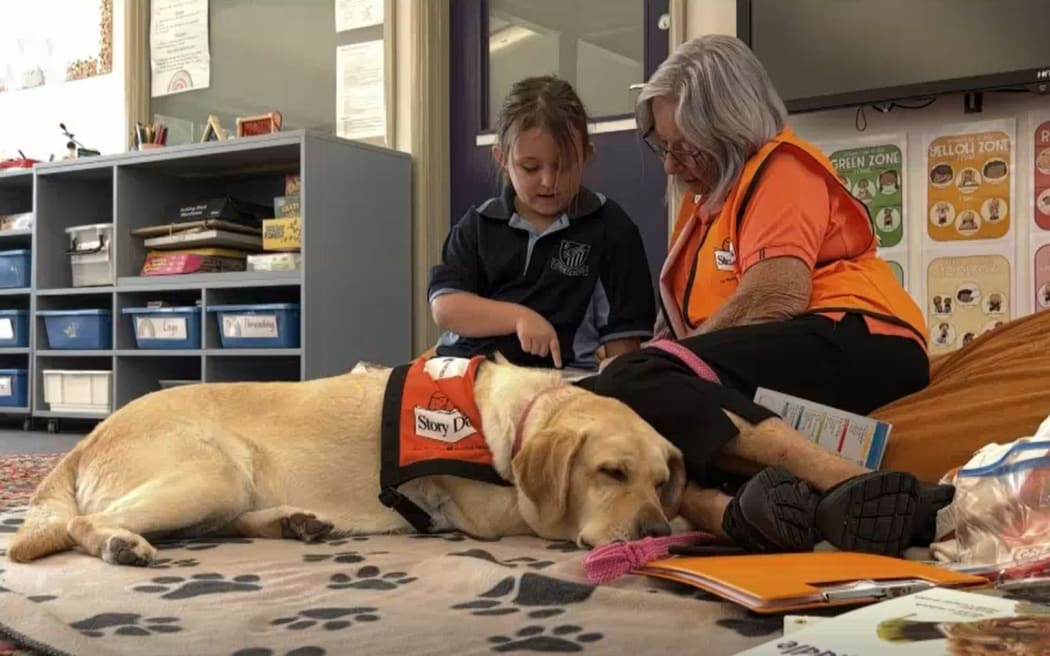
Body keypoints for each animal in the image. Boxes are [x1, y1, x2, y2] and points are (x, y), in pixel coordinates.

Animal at [8, 354, 684, 566]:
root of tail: (86, 440)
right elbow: (546, 515)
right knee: (83, 523)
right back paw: (119, 544)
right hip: (212, 471)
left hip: (226, 486)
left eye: (659, 482)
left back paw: (296, 523)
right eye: (609, 473)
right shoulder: (495, 511)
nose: (654, 531)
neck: (521, 419)